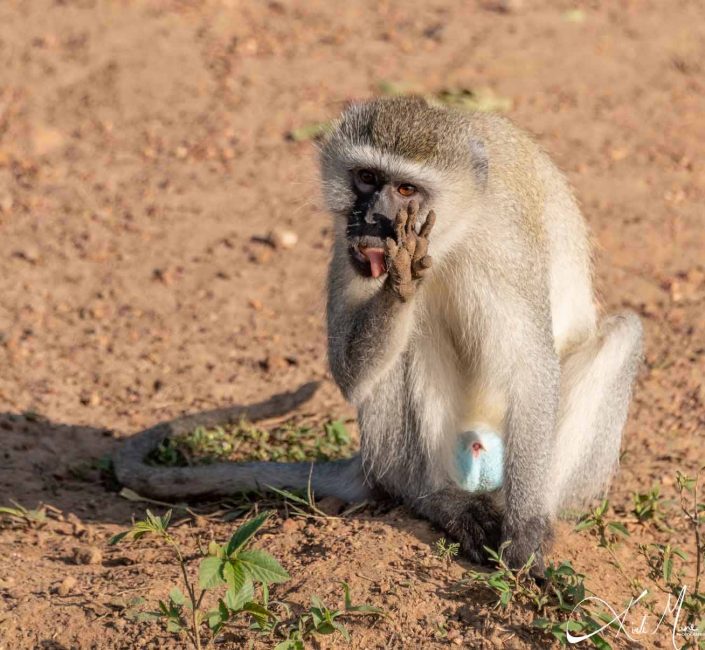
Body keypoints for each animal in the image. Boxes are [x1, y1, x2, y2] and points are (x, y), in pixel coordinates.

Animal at [113, 97, 640, 572]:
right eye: (366, 179)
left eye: (406, 189)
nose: (370, 219)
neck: (451, 235)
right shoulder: (344, 244)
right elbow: (350, 372)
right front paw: (399, 285)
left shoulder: (506, 243)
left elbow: (531, 367)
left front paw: (527, 530)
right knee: (408, 350)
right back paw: (437, 499)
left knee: (623, 335)